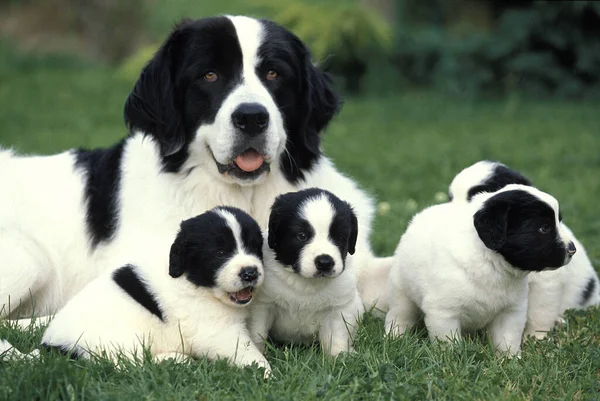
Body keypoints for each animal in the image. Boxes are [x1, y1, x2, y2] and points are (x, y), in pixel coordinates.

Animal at [37, 206, 270, 376]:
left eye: (254, 247)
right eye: (220, 253)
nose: (250, 272)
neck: (191, 279)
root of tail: (53, 345)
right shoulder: (217, 330)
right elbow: (245, 351)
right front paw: (264, 373)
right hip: (119, 340)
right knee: (131, 365)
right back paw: (176, 360)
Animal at [247, 189, 364, 354]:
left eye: (340, 237)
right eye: (302, 236)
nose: (325, 262)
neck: (305, 283)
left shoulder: (338, 308)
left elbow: (337, 337)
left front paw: (340, 356)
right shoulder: (263, 304)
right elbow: (258, 331)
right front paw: (258, 352)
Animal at [384, 184, 576, 354]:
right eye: (544, 228)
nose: (572, 249)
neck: (491, 264)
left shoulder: (511, 311)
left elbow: (507, 340)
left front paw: (510, 361)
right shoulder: (443, 312)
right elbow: (449, 342)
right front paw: (453, 360)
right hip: (402, 291)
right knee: (399, 314)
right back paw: (395, 337)